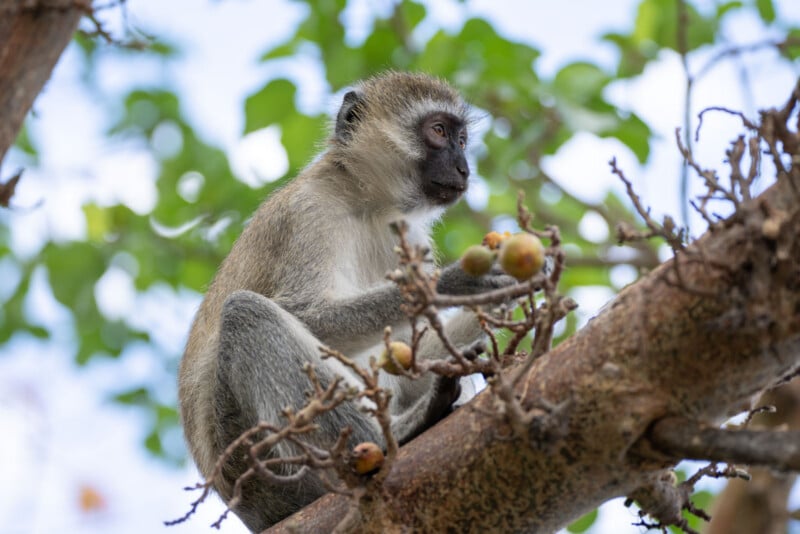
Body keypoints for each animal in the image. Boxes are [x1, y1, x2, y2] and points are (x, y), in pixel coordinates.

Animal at [178, 71, 516, 532]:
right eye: (439, 131)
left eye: (462, 139)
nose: (464, 168)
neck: (367, 203)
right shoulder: (310, 213)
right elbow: (305, 314)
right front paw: (457, 284)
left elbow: (404, 354)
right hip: (256, 461)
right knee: (246, 314)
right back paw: (390, 440)